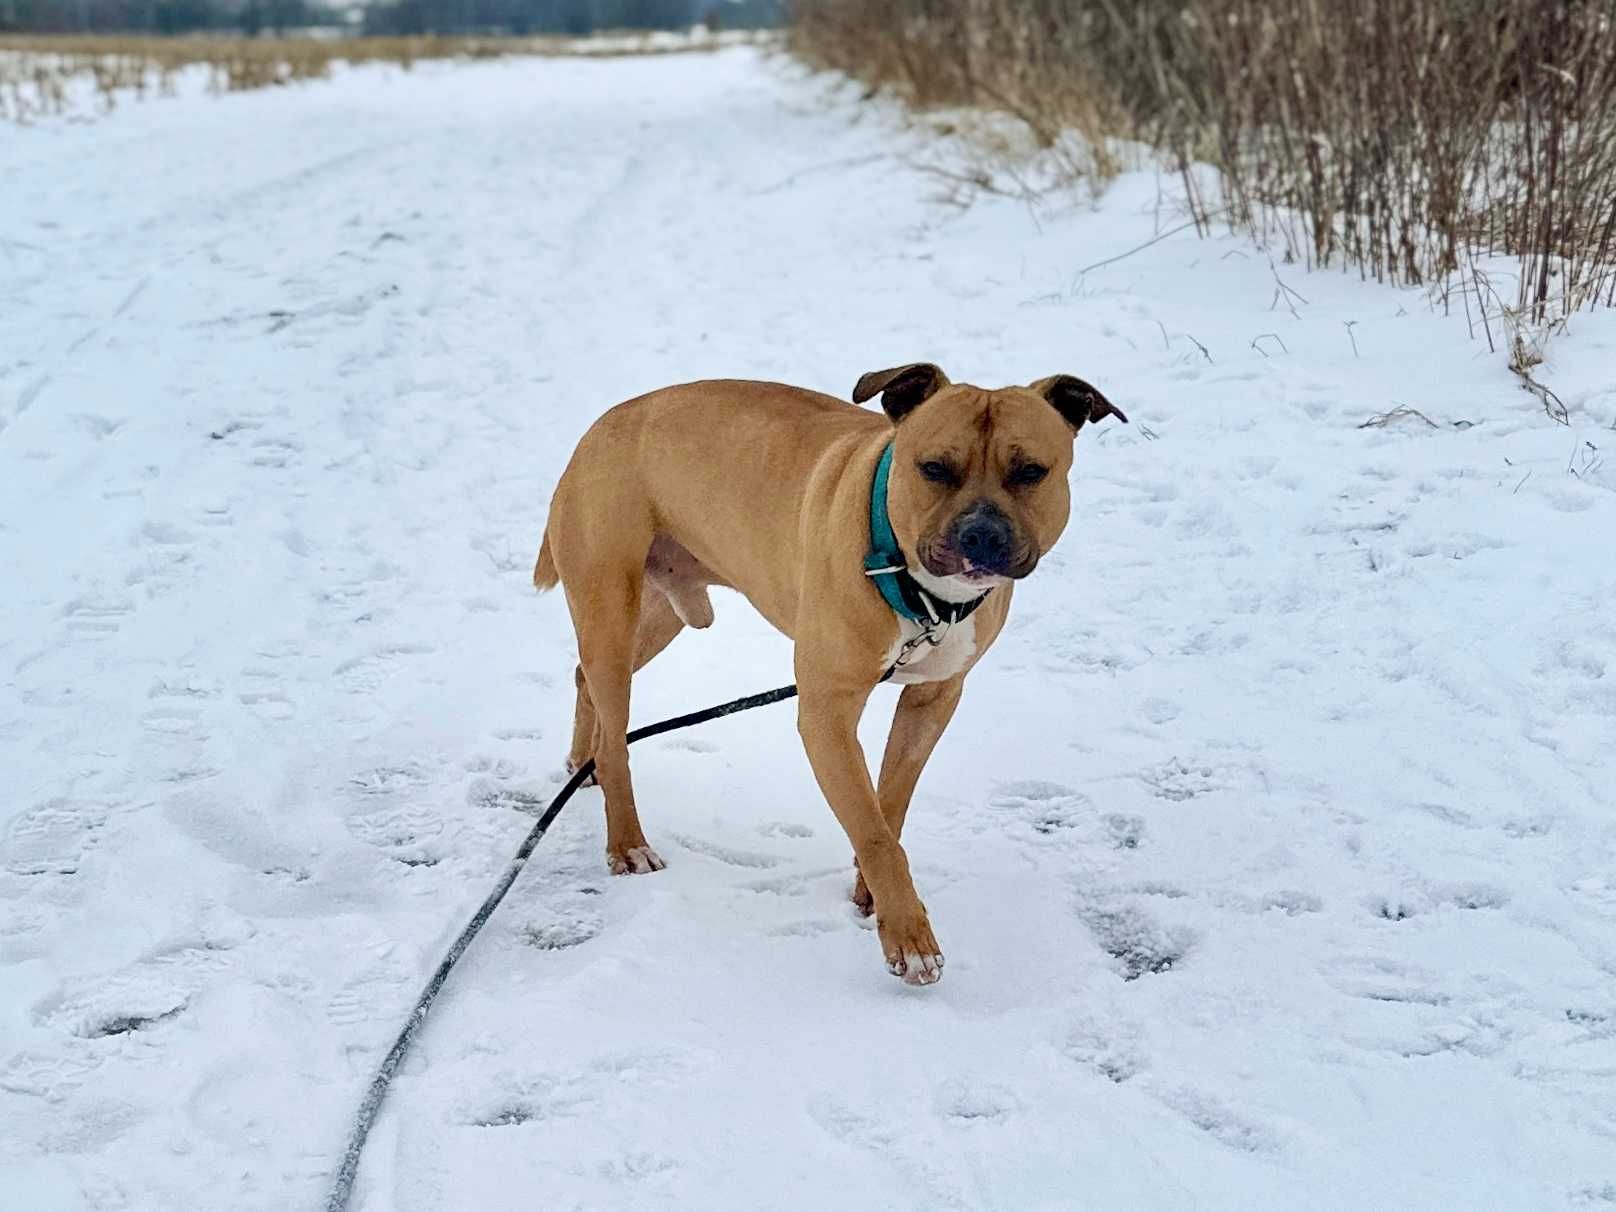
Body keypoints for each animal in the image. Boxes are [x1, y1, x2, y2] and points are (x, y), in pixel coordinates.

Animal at [530, 363, 1124, 988]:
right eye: (934, 468)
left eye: (1030, 471)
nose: (980, 535)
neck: (920, 592)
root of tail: (602, 424)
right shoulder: (826, 715)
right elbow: (873, 828)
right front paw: (909, 940)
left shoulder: (933, 699)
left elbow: (889, 805)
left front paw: (873, 893)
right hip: (610, 607)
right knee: (615, 733)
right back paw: (627, 842)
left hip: (660, 611)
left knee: (584, 676)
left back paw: (581, 762)